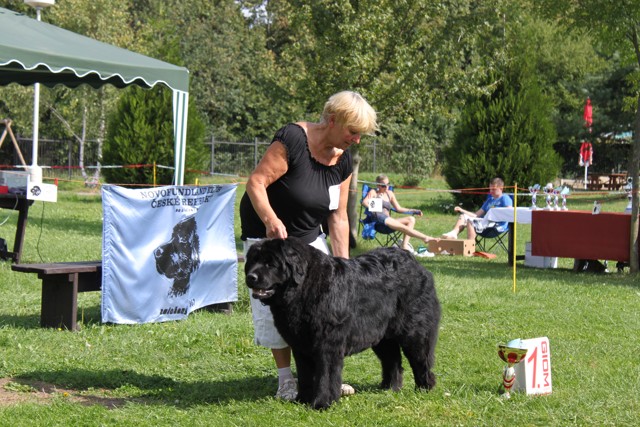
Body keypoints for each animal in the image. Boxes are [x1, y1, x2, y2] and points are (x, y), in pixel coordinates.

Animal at [245, 237, 440, 409]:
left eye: (270, 264)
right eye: (252, 261)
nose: (250, 277)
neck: (303, 288)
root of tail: (415, 263)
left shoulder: (327, 345)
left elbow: (325, 376)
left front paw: (321, 403)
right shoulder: (300, 346)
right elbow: (305, 375)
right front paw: (302, 400)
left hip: (414, 331)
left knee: (421, 359)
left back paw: (424, 388)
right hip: (381, 335)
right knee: (392, 361)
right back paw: (389, 387)